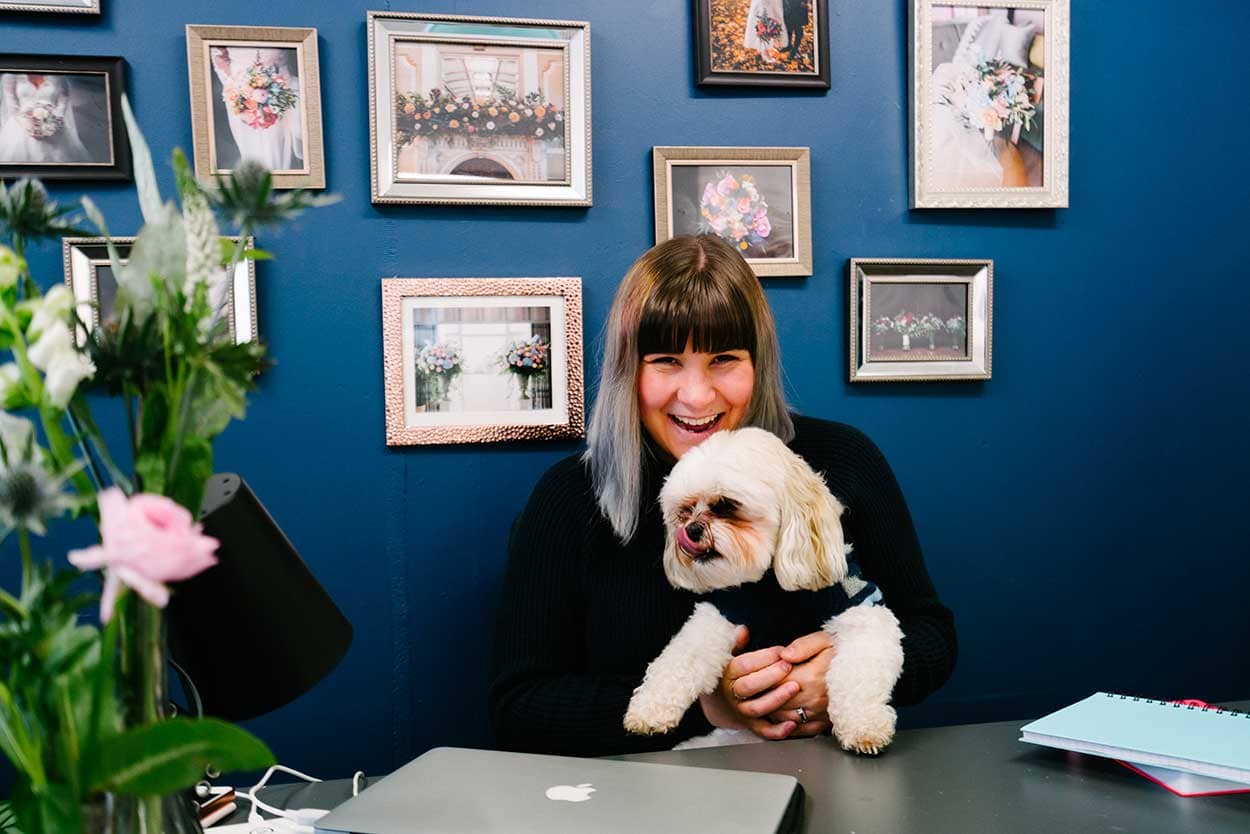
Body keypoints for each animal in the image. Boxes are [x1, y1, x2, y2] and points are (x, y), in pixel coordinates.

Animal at [622, 430, 900, 755]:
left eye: (726, 504)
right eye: (686, 510)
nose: (690, 530)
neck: (771, 585)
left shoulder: (861, 612)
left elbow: (860, 672)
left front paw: (864, 727)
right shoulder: (724, 613)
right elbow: (680, 657)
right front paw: (649, 709)